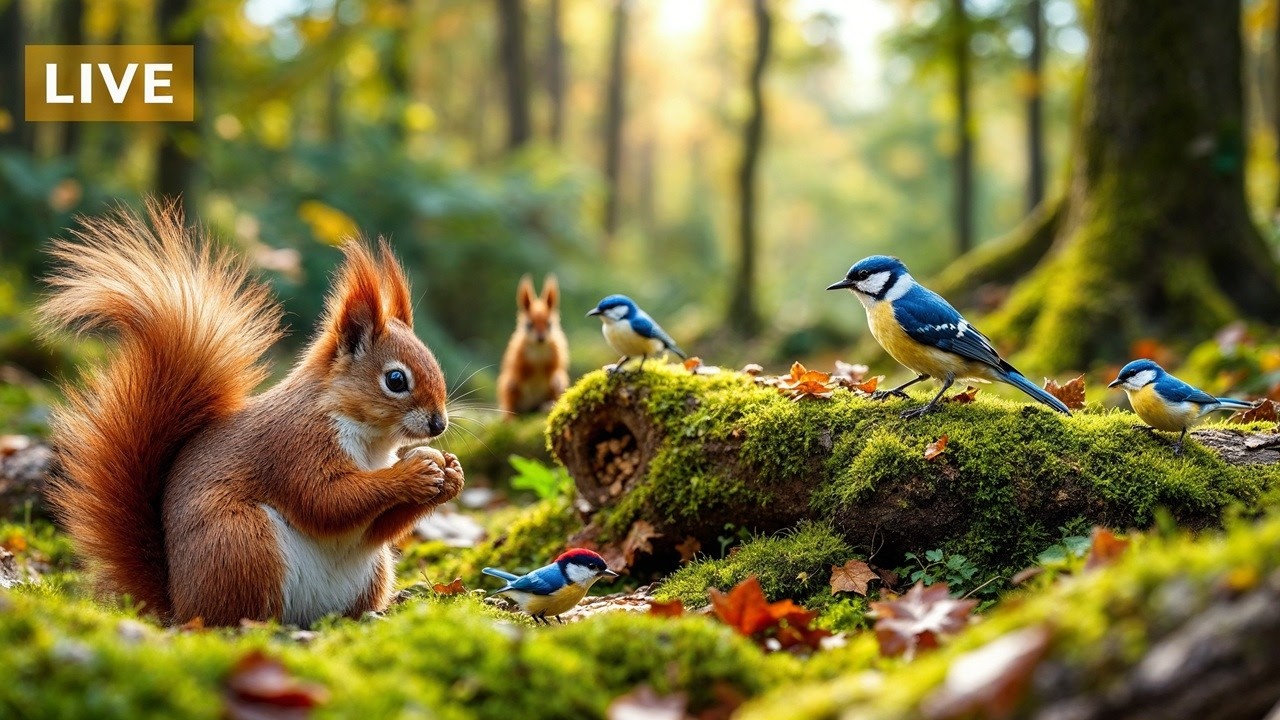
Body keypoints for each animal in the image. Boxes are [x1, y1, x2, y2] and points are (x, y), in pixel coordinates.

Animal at [40, 201, 464, 627]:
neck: (370, 439)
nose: (438, 423)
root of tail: (179, 605)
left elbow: (372, 529)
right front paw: (413, 473)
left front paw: (451, 473)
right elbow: (327, 500)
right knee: (238, 612)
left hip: (368, 571)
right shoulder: (296, 445)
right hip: (242, 541)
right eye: (396, 379)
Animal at [496, 274, 570, 416]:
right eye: (529, 324)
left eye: (549, 324)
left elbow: (556, 368)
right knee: (511, 403)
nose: (541, 338)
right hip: (509, 392)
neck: (539, 348)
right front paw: (515, 379)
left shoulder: (556, 353)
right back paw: (510, 417)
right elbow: (517, 369)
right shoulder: (518, 353)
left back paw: (548, 405)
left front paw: (557, 379)